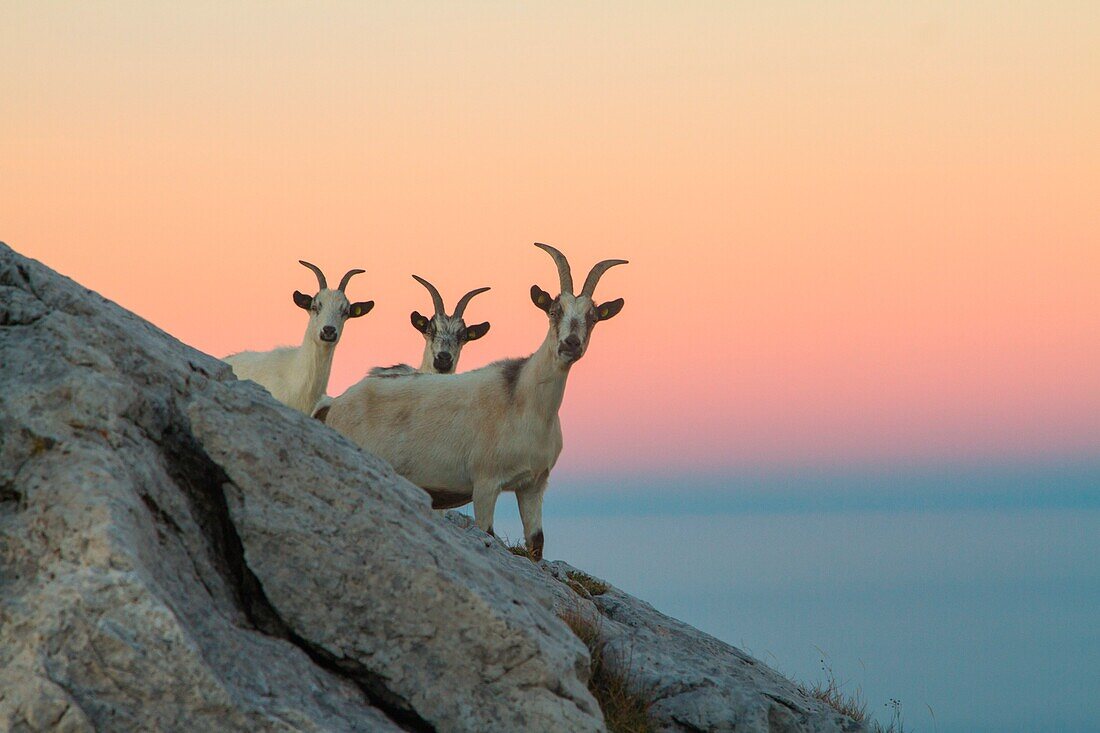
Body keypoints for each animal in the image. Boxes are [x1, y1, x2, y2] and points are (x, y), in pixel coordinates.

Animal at [321, 242, 629, 556]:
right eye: (555, 310)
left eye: (593, 317)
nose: (571, 344)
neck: (525, 402)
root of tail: (336, 404)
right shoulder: (485, 483)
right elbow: (487, 532)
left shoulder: (533, 485)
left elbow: (537, 543)